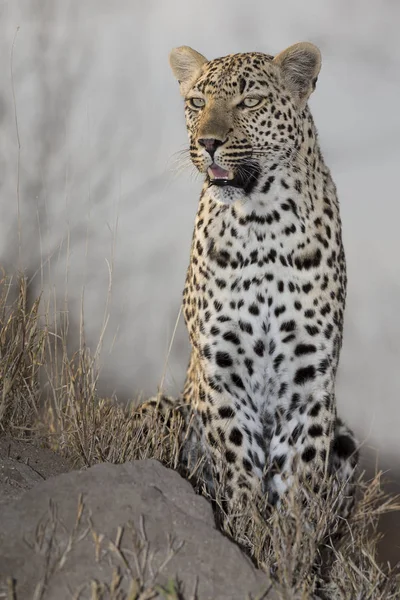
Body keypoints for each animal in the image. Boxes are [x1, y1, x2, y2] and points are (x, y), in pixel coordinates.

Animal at [139, 42, 358, 520]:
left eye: (250, 102)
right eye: (197, 102)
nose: (208, 143)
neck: (263, 224)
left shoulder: (309, 377)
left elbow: (301, 478)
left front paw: (288, 538)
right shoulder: (220, 367)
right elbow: (237, 458)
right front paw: (245, 523)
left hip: (347, 437)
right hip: (160, 406)